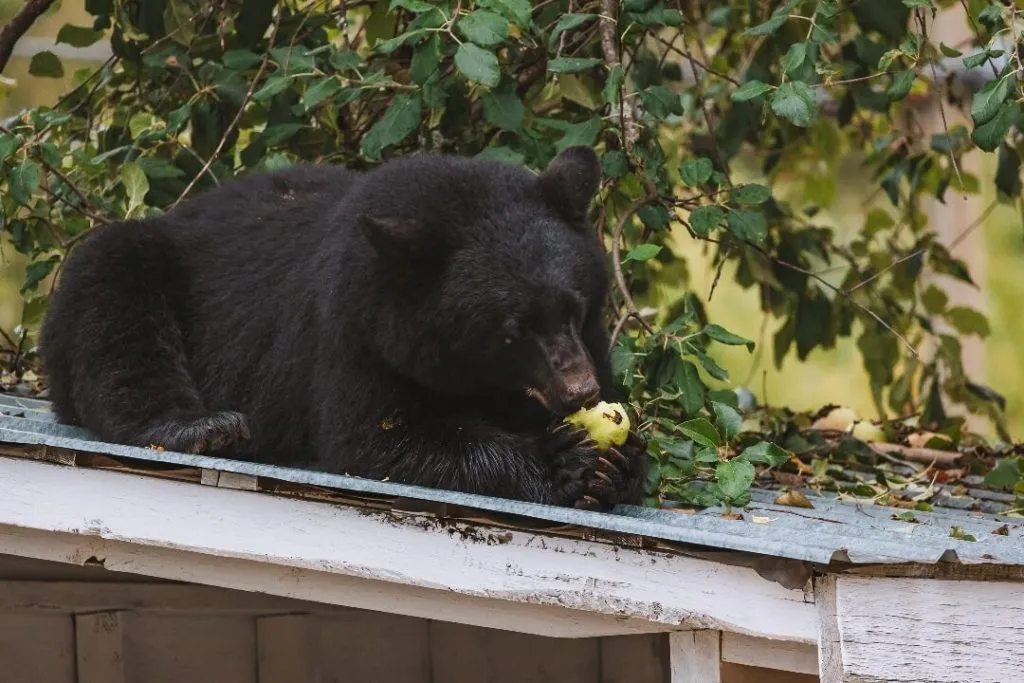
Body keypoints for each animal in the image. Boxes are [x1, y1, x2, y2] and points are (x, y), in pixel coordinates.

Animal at [40, 146, 647, 510]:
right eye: (510, 331)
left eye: (572, 308)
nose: (581, 390)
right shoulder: (358, 328)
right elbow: (376, 438)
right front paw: (562, 460)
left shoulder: (588, 340)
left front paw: (619, 461)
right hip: (129, 272)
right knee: (115, 305)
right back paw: (203, 426)